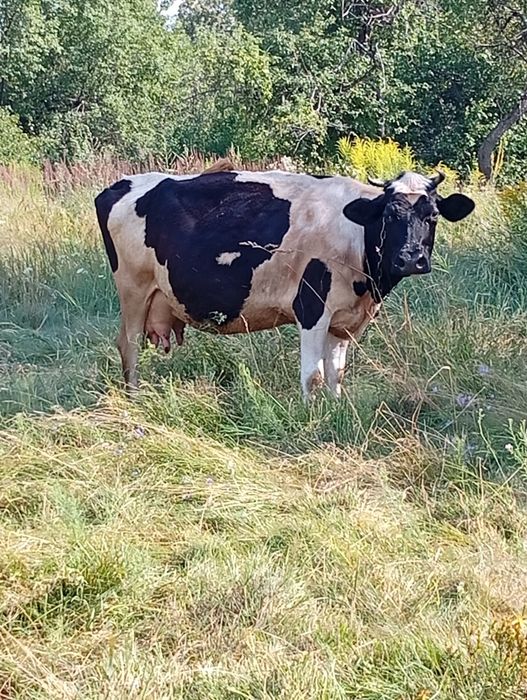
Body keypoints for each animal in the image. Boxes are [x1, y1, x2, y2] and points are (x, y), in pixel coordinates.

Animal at [94, 166, 475, 399]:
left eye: (432, 216)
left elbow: (336, 374)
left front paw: (335, 409)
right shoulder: (312, 309)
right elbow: (313, 375)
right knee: (128, 346)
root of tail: (119, 185)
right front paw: (310, 417)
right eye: (390, 215)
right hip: (133, 289)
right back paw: (134, 398)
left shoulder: (345, 320)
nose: (411, 258)